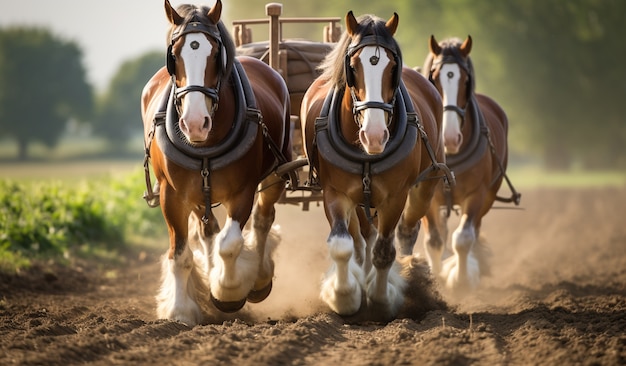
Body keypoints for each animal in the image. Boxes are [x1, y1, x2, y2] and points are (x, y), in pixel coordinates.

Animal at [140, 0, 292, 326]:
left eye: (215, 55)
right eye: (174, 56)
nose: (195, 123)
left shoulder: (243, 191)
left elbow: (230, 243)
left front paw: (228, 292)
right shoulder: (173, 195)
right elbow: (181, 254)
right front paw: (180, 310)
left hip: (276, 173)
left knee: (262, 220)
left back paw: (258, 278)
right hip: (199, 192)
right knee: (207, 231)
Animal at [298, 10, 448, 320]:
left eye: (393, 68)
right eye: (353, 67)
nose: (375, 135)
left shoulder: (394, 197)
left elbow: (384, 251)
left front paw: (380, 301)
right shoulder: (335, 193)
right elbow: (343, 246)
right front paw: (345, 296)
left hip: (425, 186)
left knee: (406, 232)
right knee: (361, 240)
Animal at [404, 34, 516, 296]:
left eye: (466, 81)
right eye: (434, 79)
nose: (449, 137)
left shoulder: (476, 194)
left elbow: (463, 239)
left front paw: (461, 280)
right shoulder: (429, 196)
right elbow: (434, 241)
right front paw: (436, 280)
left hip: (488, 195)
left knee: (473, 231)